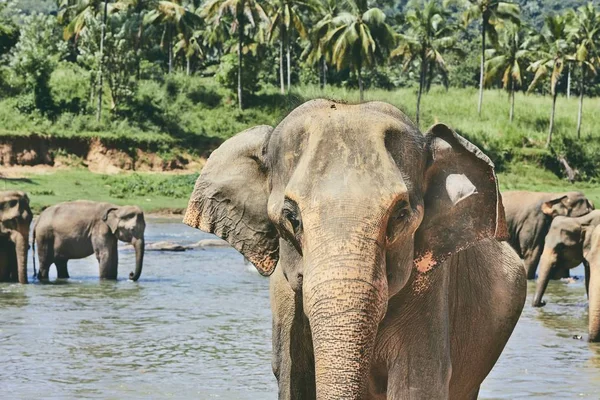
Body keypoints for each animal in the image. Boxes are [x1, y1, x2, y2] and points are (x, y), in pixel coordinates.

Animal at [183, 101, 524, 400]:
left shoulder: (431, 293)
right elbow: (293, 379)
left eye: (400, 215)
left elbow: (417, 385)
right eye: (291, 217)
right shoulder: (284, 303)